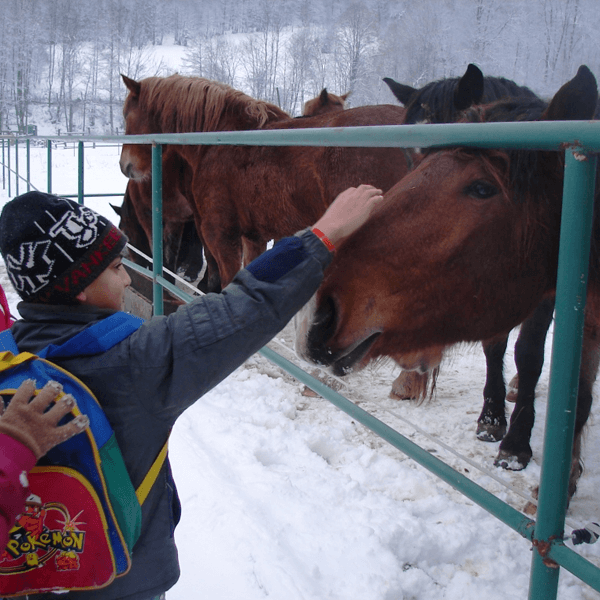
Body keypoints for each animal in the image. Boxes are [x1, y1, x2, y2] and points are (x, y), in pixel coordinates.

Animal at [296, 64, 600, 502]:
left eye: (482, 188)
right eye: (411, 154)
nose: (317, 315)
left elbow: (530, 355)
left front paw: (516, 445)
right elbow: (495, 347)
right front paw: (492, 418)